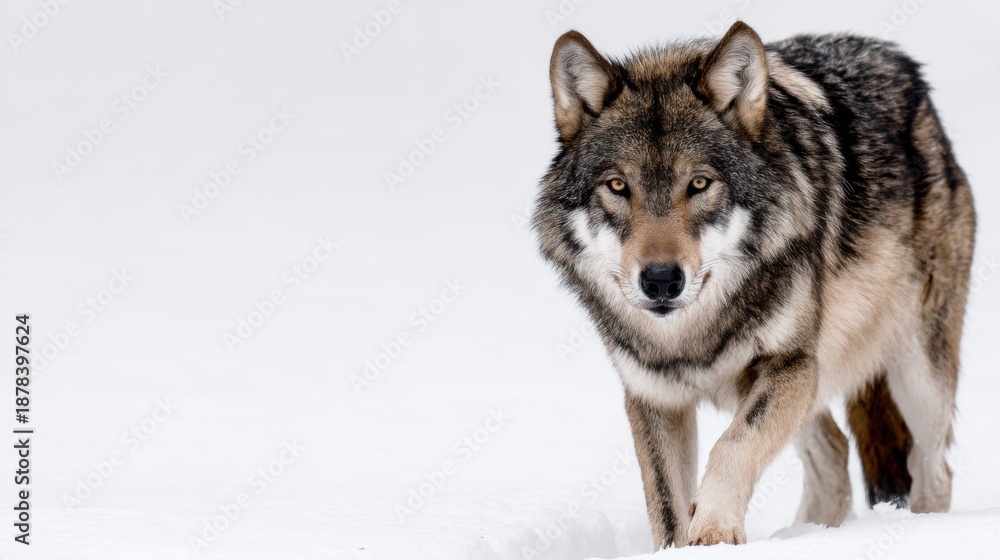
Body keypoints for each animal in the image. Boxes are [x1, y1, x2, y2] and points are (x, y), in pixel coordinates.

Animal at [533, 21, 975, 547]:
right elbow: (664, 502)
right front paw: (682, 544)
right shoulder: (654, 396)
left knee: (933, 468)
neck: (692, 337)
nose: (661, 281)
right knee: (833, 451)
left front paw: (713, 534)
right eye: (618, 187)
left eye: (699, 184)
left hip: (916, 377)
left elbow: (734, 445)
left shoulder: (790, 365)